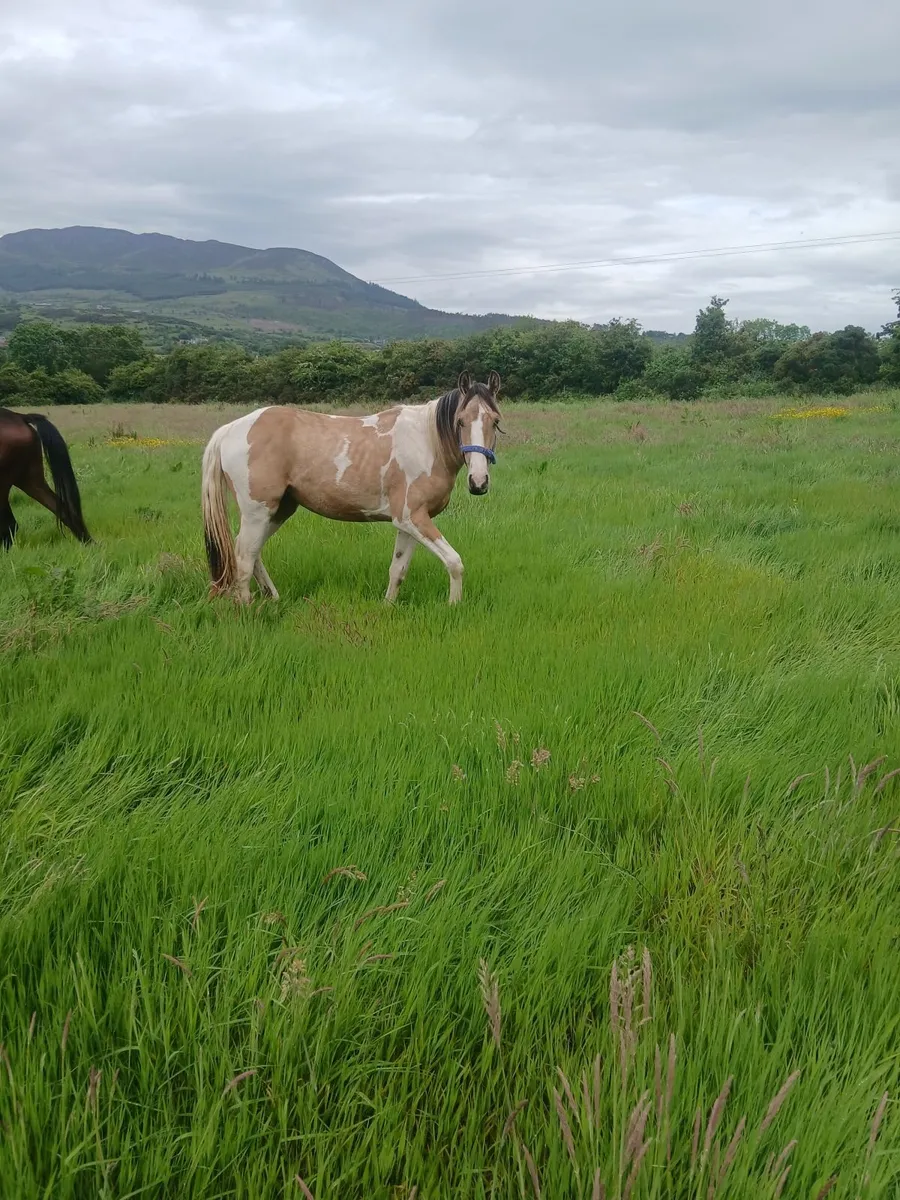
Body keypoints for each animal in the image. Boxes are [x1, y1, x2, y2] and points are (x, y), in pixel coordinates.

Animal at [201, 370, 502, 605]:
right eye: (461, 420)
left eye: (495, 421)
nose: (478, 482)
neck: (427, 441)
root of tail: (229, 430)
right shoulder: (413, 518)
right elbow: (454, 562)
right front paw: (454, 605)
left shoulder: (409, 523)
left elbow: (398, 569)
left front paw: (387, 607)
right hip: (258, 512)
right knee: (243, 557)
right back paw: (246, 608)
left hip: (279, 511)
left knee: (252, 552)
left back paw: (272, 597)